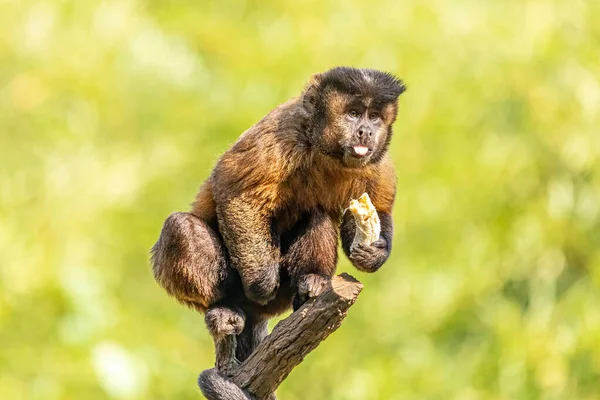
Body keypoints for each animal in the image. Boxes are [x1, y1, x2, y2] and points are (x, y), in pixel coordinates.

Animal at [150, 68, 406, 378]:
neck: (324, 152)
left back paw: (312, 282)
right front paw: (262, 282)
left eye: (375, 117)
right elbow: (238, 195)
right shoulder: (281, 132)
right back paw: (224, 307)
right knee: (179, 227)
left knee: (316, 214)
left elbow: (377, 210)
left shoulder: (378, 162)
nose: (365, 131)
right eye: (354, 113)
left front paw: (373, 253)